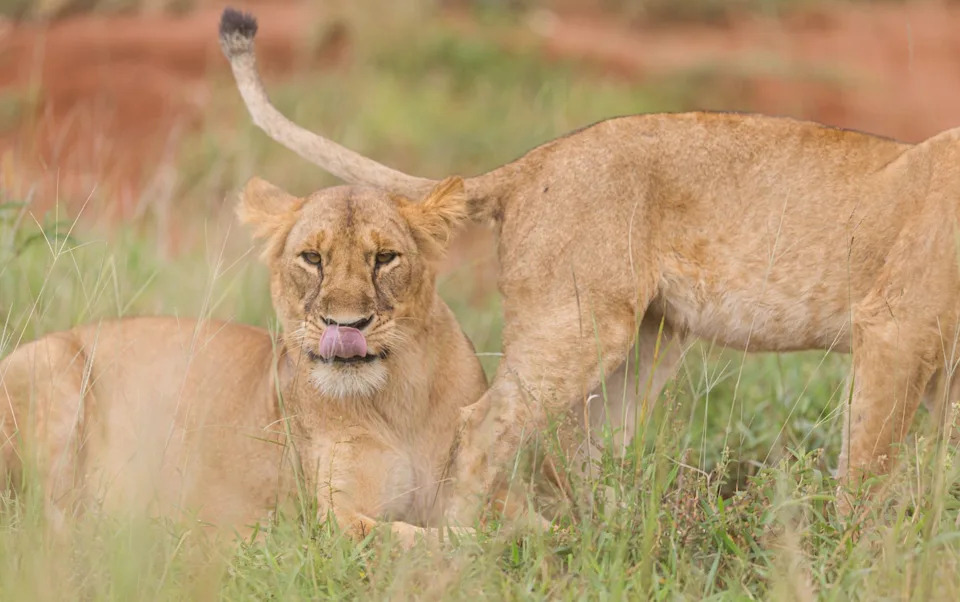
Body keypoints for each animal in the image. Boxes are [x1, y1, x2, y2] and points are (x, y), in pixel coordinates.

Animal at [0, 175, 487, 544]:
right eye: (312, 258)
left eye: (385, 258)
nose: (346, 325)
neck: (398, 400)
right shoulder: (332, 519)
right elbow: (414, 538)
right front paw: (488, 543)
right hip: (54, 366)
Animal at [219, 7, 960, 521]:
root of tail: (531, 164)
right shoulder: (894, 328)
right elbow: (869, 463)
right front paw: (857, 553)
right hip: (578, 325)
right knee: (484, 427)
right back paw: (465, 550)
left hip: (648, 340)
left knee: (582, 448)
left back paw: (605, 534)